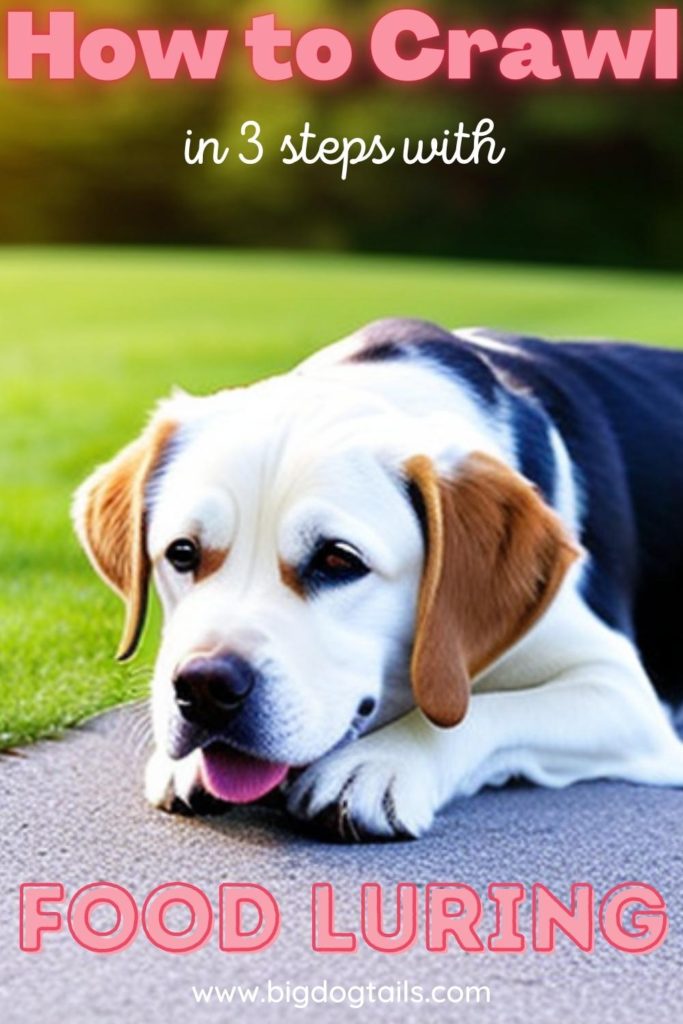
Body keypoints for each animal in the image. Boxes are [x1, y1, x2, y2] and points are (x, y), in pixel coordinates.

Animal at [70, 317, 683, 839]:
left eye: (339, 561)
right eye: (182, 552)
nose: (203, 687)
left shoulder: (621, 692)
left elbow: (485, 711)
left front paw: (382, 762)